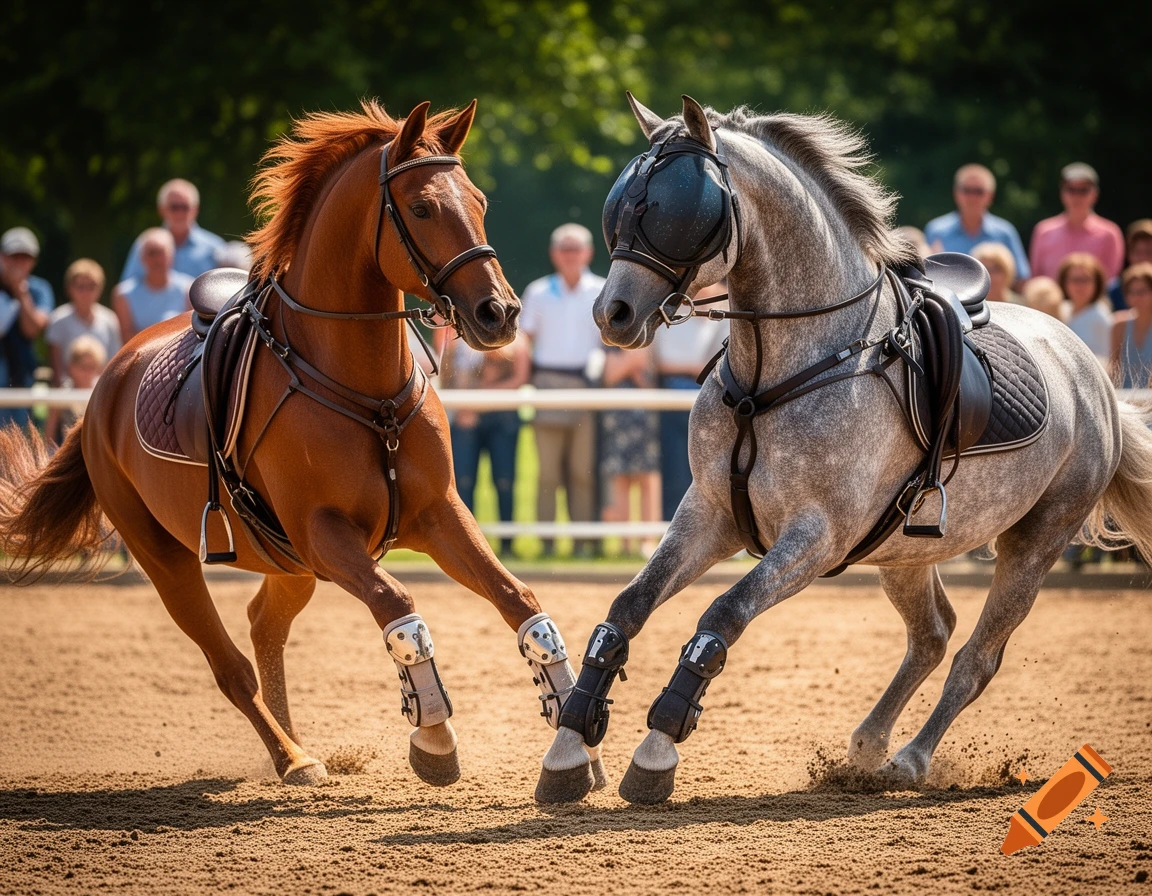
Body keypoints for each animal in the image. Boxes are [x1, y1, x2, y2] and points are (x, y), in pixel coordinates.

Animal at [0, 99, 600, 791]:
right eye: (422, 207)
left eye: (478, 201)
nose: (499, 313)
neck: (366, 392)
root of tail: (106, 387)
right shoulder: (325, 534)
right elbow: (399, 607)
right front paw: (433, 735)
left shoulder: (438, 514)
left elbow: (519, 600)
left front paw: (572, 733)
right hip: (170, 560)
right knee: (231, 668)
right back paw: (292, 756)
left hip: (287, 566)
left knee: (264, 625)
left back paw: (292, 749)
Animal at [534, 93, 1152, 805]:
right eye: (622, 203)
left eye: (675, 208)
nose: (614, 315)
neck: (771, 377)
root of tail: (1092, 376)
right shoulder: (709, 514)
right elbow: (626, 608)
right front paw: (570, 742)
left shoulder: (816, 538)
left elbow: (723, 615)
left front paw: (657, 749)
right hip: (907, 550)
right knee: (932, 635)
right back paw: (865, 747)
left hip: (1035, 542)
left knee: (976, 658)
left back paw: (910, 759)